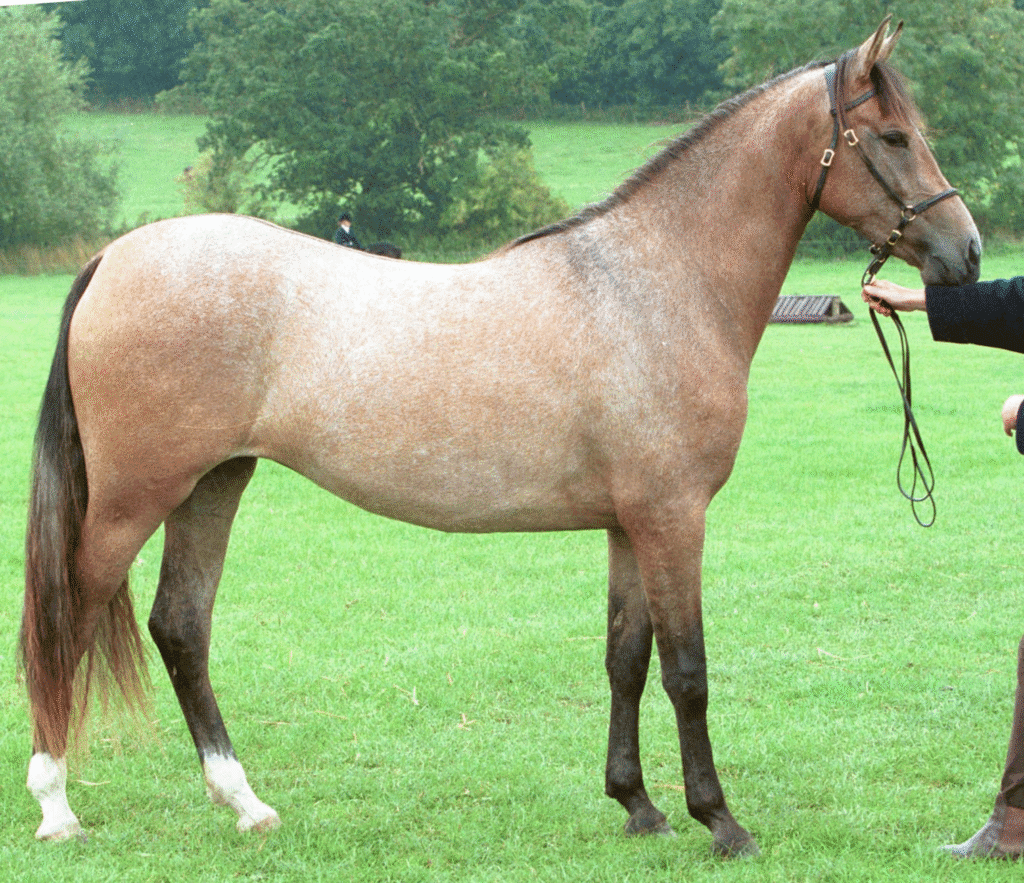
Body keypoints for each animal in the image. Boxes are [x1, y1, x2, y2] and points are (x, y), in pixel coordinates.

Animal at [21, 19, 980, 855]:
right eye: (893, 136)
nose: (965, 254)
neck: (654, 282)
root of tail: (114, 257)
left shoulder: (629, 525)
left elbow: (625, 660)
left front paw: (637, 805)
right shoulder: (673, 518)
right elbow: (688, 670)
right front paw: (721, 820)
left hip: (215, 482)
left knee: (181, 627)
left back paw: (245, 802)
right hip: (134, 499)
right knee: (67, 619)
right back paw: (57, 807)